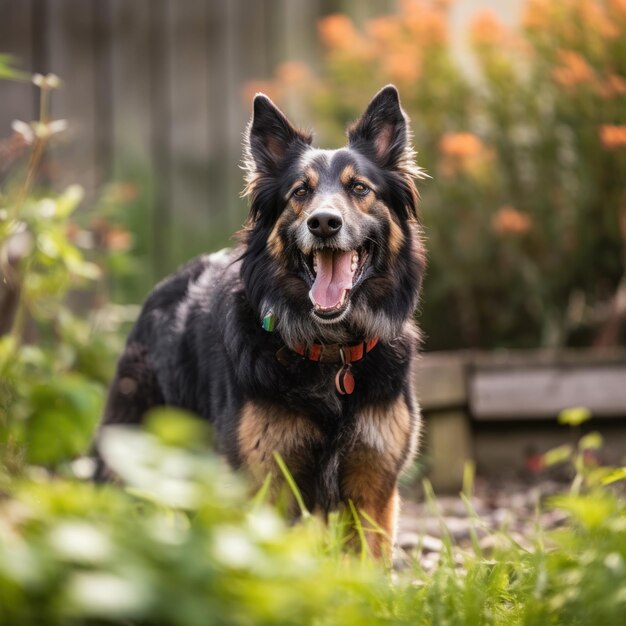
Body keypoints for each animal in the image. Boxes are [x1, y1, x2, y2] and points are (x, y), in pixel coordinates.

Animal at [95, 84, 426, 556]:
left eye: (360, 188)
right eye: (300, 192)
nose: (324, 223)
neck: (331, 352)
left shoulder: (372, 487)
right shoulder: (265, 482)